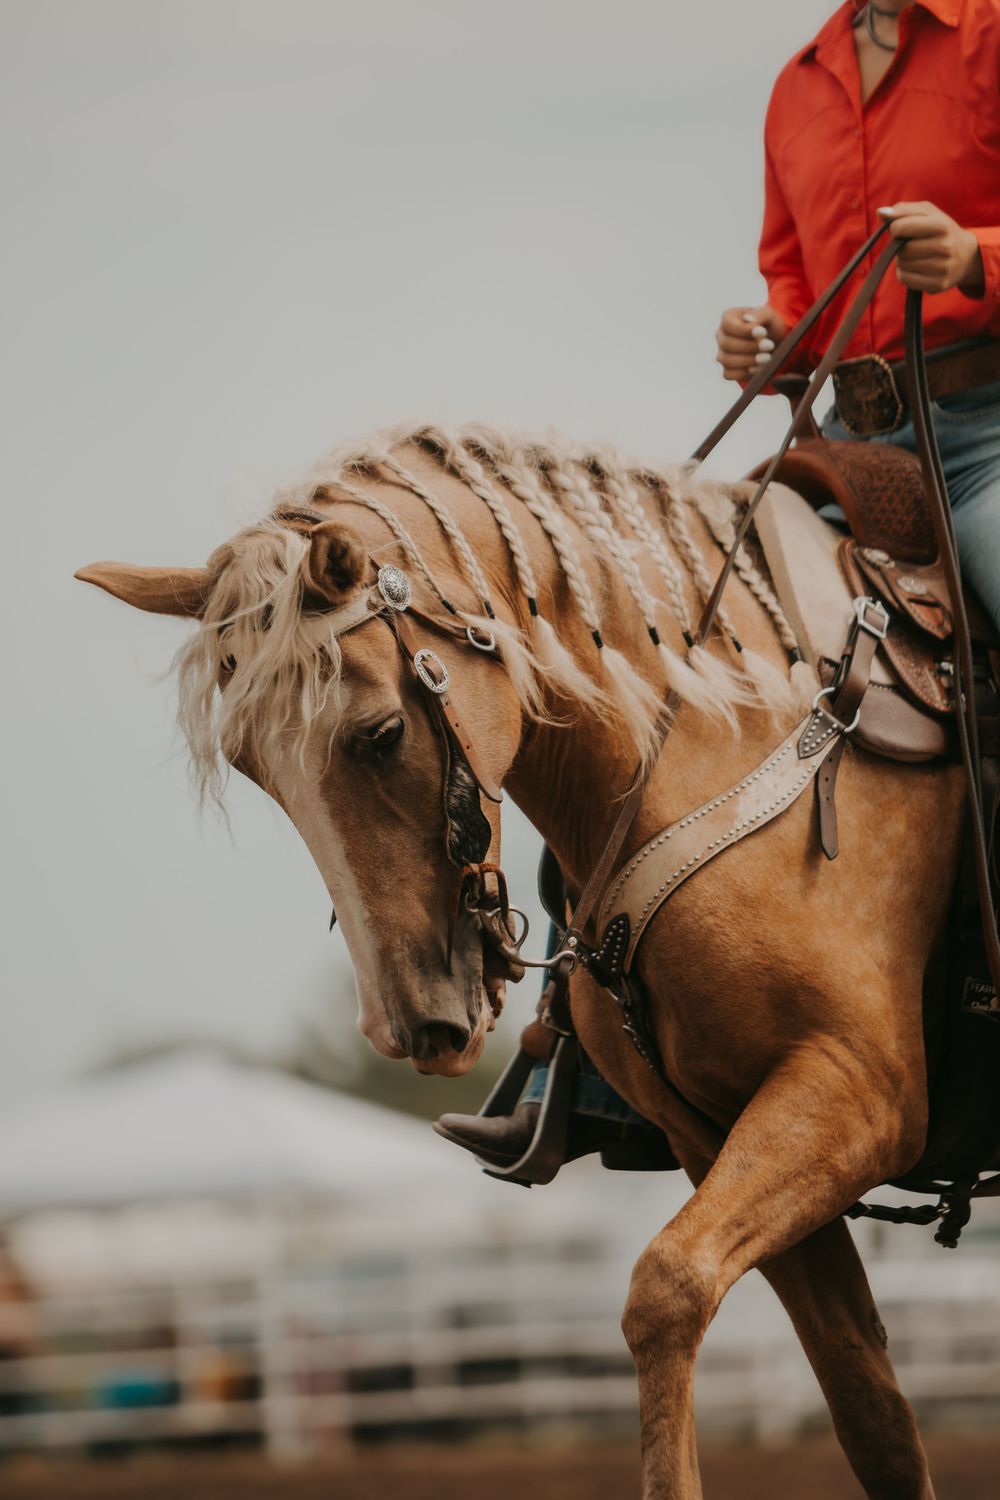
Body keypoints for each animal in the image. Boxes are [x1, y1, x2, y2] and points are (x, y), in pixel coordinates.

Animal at [76, 422, 963, 1499]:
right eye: (253, 766)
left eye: (379, 735)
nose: (412, 1025)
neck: (738, 728)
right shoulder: (720, 1134)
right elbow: (866, 1402)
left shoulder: (855, 1093)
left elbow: (666, 1288)